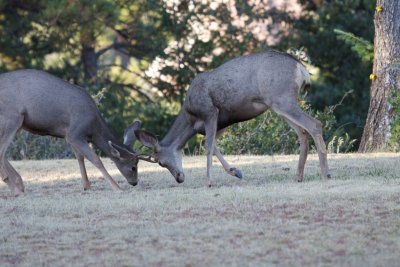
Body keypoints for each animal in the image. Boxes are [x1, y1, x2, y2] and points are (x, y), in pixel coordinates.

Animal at [0, 69, 153, 195]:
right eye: (133, 167)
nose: (134, 183)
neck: (94, 129)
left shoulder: (69, 135)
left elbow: (80, 158)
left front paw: (87, 186)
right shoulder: (75, 133)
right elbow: (96, 159)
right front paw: (117, 188)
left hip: (19, 122)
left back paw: (18, 184)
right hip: (12, 116)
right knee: (1, 151)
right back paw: (15, 187)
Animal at [137, 51, 332, 187]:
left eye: (161, 162)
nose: (179, 178)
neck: (191, 117)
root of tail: (302, 70)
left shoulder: (210, 112)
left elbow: (208, 147)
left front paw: (210, 182)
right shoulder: (223, 121)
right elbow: (214, 145)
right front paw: (235, 171)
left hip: (282, 98)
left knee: (315, 124)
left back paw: (326, 175)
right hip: (278, 104)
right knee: (302, 133)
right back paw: (298, 176)